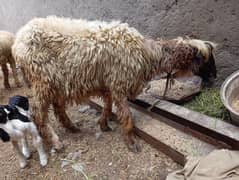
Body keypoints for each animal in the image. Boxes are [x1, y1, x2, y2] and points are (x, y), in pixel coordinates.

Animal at [11, 16, 217, 152]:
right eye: (205, 59)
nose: (215, 76)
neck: (146, 52)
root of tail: (18, 41)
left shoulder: (109, 83)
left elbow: (108, 104)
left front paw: (104, 124)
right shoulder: (119, 83)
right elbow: (126, 114)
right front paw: (131, 141)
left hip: (56, 81)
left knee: (58, 107)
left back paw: (72, 127)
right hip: (42, 80)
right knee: (38, 113)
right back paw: (54, 141)